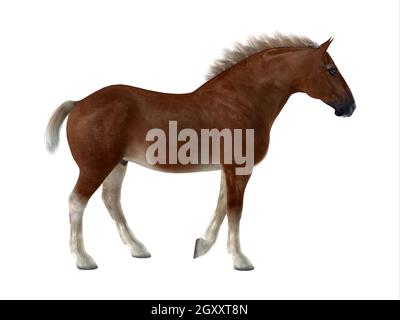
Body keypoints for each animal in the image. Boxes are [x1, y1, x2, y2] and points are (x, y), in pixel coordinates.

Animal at [45, 34, 354, 270]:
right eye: (331, 69)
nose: (350, 106)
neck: (241, 100)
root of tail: (79, 103)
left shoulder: (227, 169)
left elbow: (221, 205)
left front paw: (202, 246)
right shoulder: (239, 168)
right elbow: (234, 208)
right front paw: (240, 260)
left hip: (118, 164)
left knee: (111, 201)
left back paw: (138, 248)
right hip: (95, 167)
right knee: (77, 202)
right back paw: (83, 259)